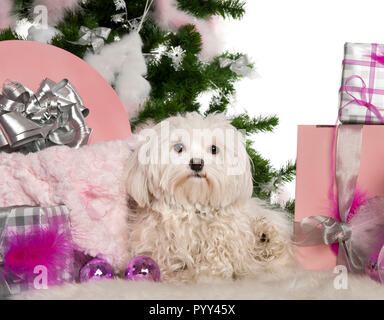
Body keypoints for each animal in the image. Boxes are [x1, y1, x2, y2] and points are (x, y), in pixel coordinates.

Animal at [124, 112, 296, 282]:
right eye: (179, 147)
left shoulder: (223, 247)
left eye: (214, 149)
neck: (193, 207)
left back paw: (265, 236)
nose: (197, 163)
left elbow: (214, 267)